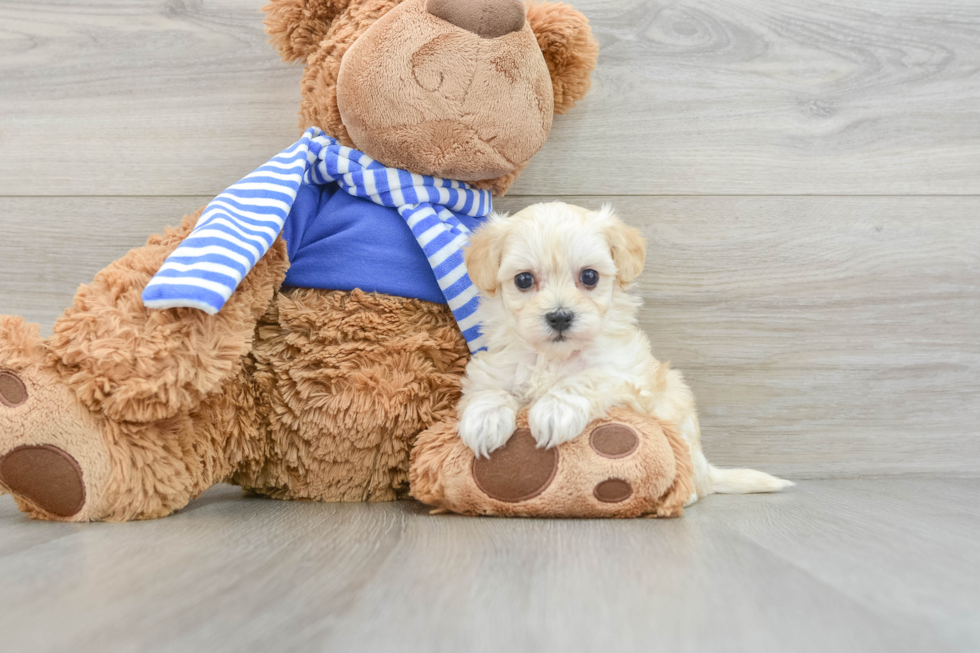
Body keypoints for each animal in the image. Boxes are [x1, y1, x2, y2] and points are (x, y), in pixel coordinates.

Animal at [462, 201, 796, 502]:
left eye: (590, 276)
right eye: (523, 280)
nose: (559, 316)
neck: (555, 358)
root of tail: (708, 472)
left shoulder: (627, 378)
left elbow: (586, 378)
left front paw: (555, 410)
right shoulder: (496, 367)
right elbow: (489, 389)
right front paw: (484, 419)